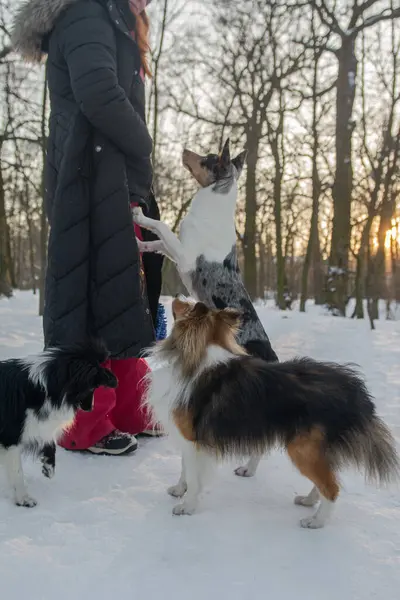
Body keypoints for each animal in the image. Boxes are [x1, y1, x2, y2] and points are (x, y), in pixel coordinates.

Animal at [0, 338, 117, 506]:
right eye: (91, 388)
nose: (91, 408)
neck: (43, 390)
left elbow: (50, 443)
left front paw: (48, 468)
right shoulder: (11, 438)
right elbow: (17, 472)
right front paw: (24, 499)